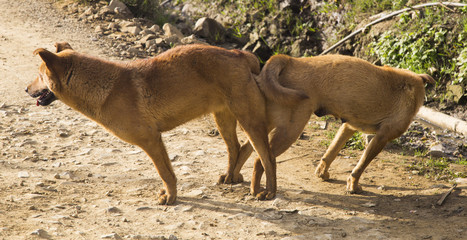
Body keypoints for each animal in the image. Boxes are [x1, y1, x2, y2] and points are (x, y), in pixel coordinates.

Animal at [26, 42, 282, 204]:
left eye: (39, 75)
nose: (26, 89)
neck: (103, 87)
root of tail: (241, 55)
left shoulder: (150, 140)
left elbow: (165, 173)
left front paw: (170, 198)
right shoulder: (156, 141)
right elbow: (168, 173)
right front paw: (171, 195)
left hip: (249, 121)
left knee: (267, 158)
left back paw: (269, 192)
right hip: (223, 118)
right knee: (235, 148)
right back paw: (230, 177)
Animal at [227, 54, 436, 193]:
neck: (411, 83)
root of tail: (292, 59)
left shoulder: (348, 127)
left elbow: (331, 153)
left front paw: (322, 172)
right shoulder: (381, 138)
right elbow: (360, 165)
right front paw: (354, 185)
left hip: (269, 123)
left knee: (246, 149)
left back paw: (234, 178)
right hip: (290, 130)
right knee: (261, 160)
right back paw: (262, 191)